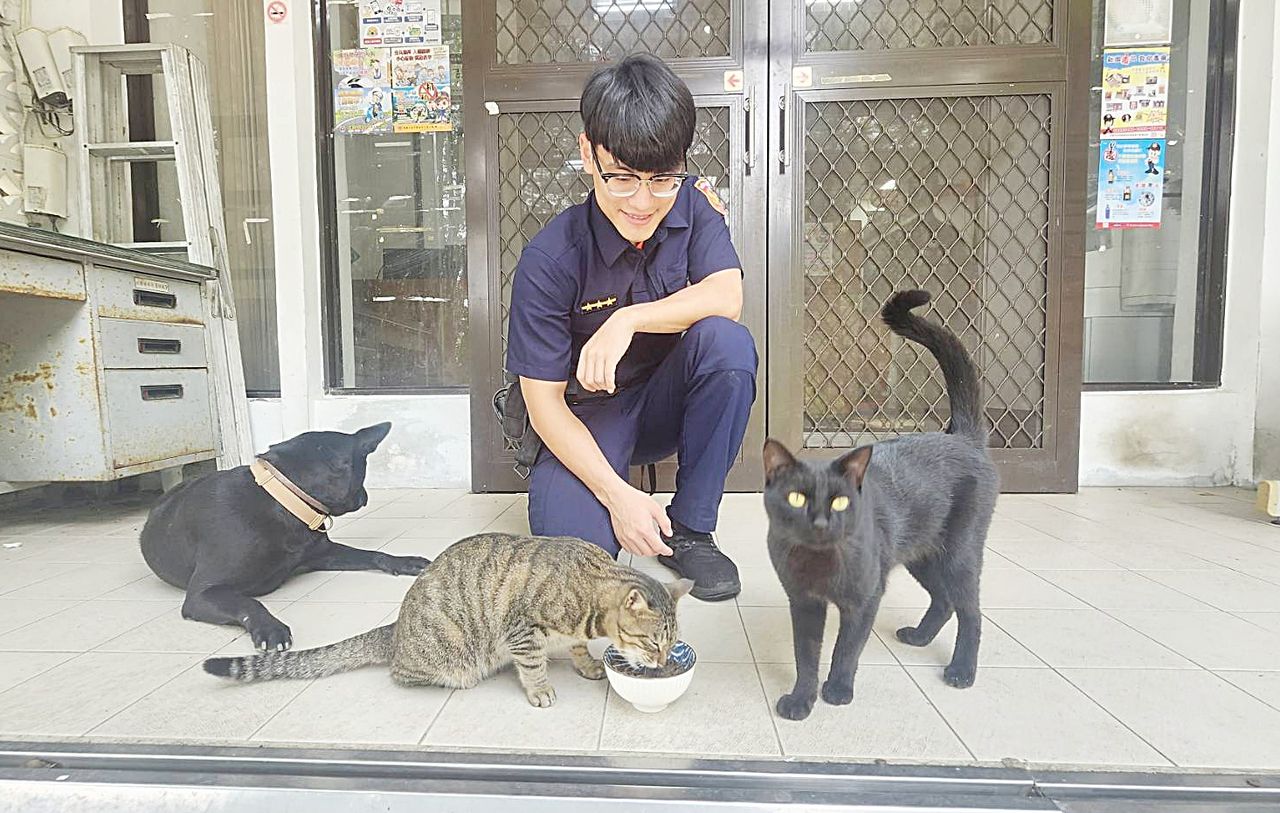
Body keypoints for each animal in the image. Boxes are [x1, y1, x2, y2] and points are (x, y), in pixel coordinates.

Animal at [139, 422, 430, 651]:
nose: (366, 496)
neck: (280, 500)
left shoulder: (323, 555)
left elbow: (372, 554)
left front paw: (404, 561)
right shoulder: (203, 593)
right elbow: (248, 603)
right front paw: (270, 628)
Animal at [203, 533, 693, 708]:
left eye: (670, 646)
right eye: (653, 644)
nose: (662, 663)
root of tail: (396, 630)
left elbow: (576, 647)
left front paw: (588, 662)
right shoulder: (523, 631)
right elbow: (533, 665)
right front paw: (540, 688)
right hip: (446, 656)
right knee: (403, 674)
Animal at [762, 289, 998, 721]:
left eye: (840, 501)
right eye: (796, 497)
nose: (820, 522)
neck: (819, 562)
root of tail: (961, 436)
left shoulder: (866, 597)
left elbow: (845, 649)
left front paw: (837, 690)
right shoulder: (803, 603)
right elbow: (806, 655)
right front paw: (801, 700)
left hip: (959, 553)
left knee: (971, 612)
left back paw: (961, 671)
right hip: (922, 555)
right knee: (944, 601)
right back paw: (919, 637)